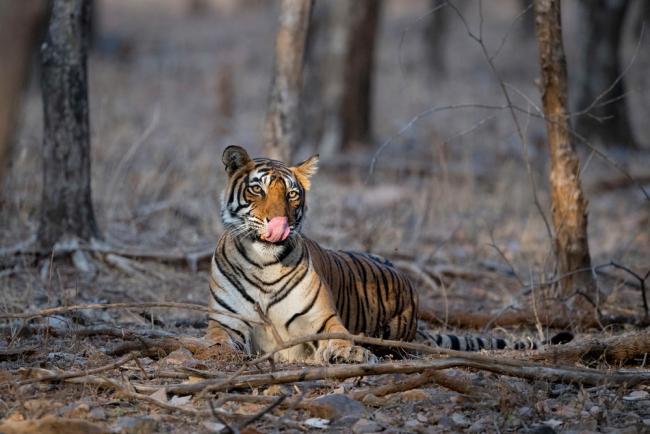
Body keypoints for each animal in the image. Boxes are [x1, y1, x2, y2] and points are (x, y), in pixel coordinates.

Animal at [206, 146, 568, 362]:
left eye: (292, 194)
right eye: (257, 189)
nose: (279, 222)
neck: (264, 263)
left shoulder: (325, 322)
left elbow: (341, 341)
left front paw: (352, 355)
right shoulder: (225, 321)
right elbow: (219, 340)